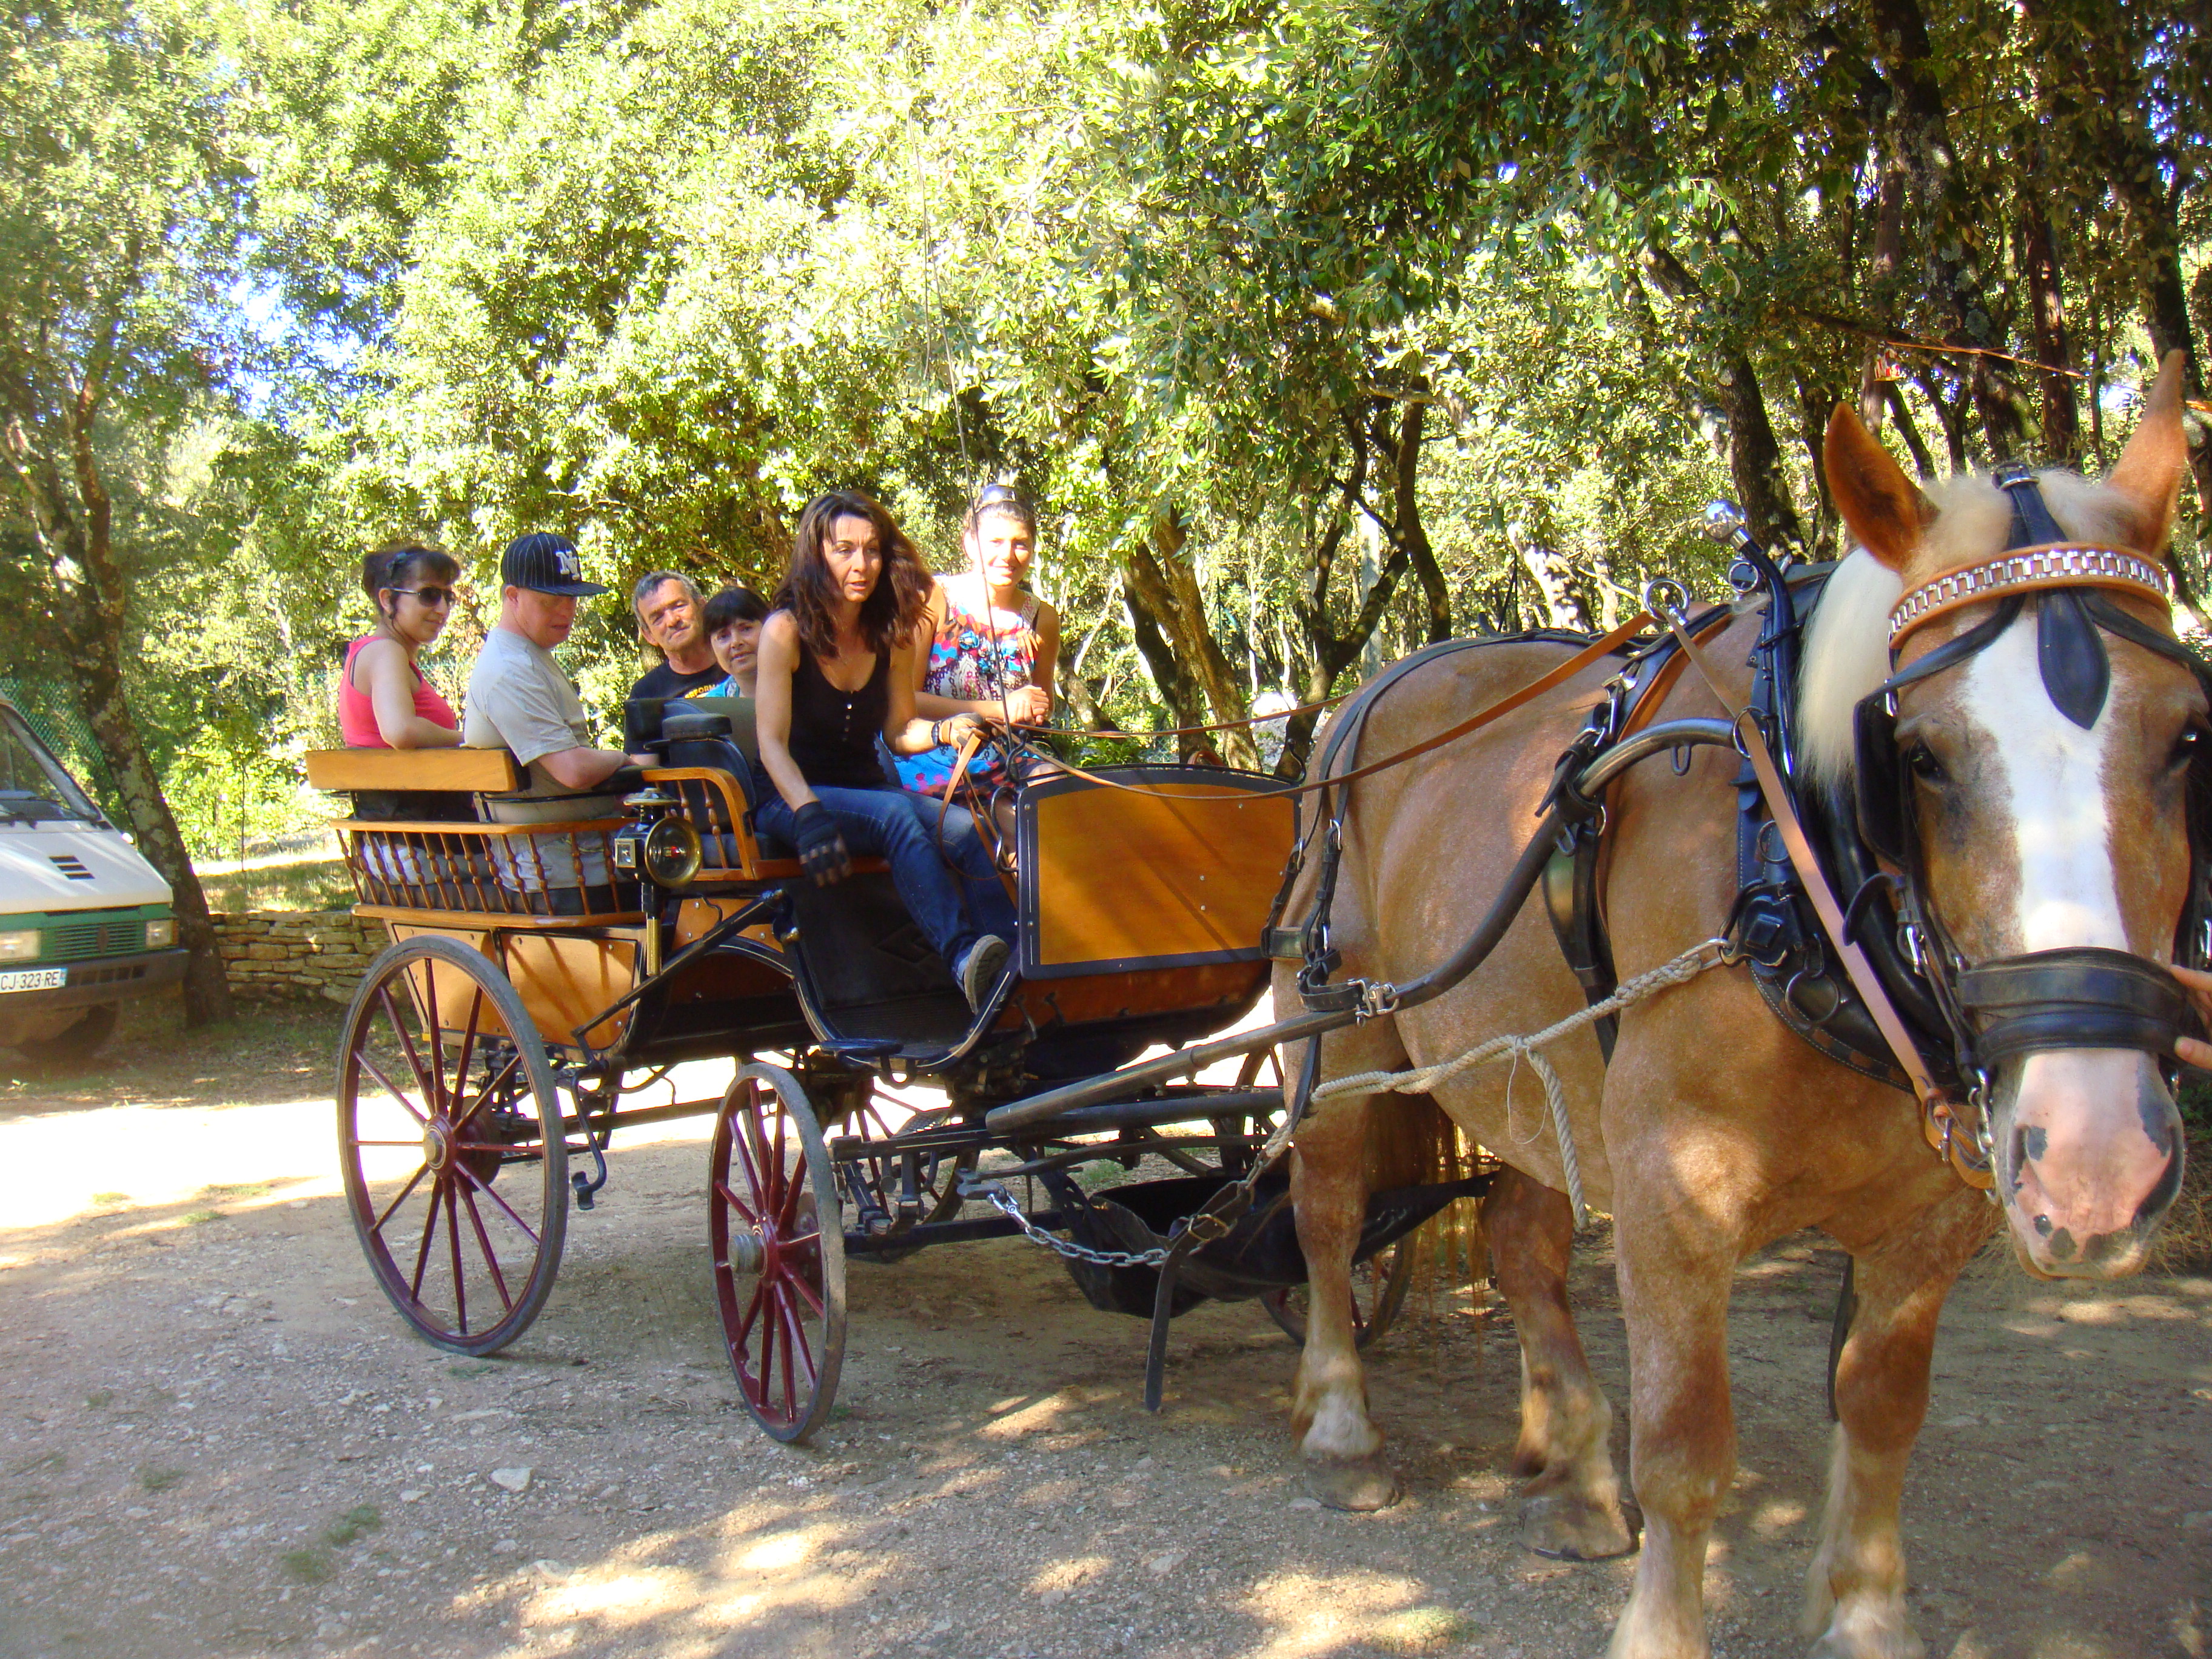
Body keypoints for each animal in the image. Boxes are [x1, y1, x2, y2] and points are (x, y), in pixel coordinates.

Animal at [1282, 354, 2194, 1659]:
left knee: (1520, 1241)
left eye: (2186, 740)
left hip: (1535, 1064)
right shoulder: (1675, 1184)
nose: (2096, 1164)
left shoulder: (1934, 1211)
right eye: (1920, 756)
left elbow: (1880, 1408)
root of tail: (1374, 691)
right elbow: (1684, 1449)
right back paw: (1342, 1427)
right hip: (1344, 1029)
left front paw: (1864, 1612)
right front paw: (1663, 1628)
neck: (1794, 869)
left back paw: (1572, 1469)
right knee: (1325, 1207)